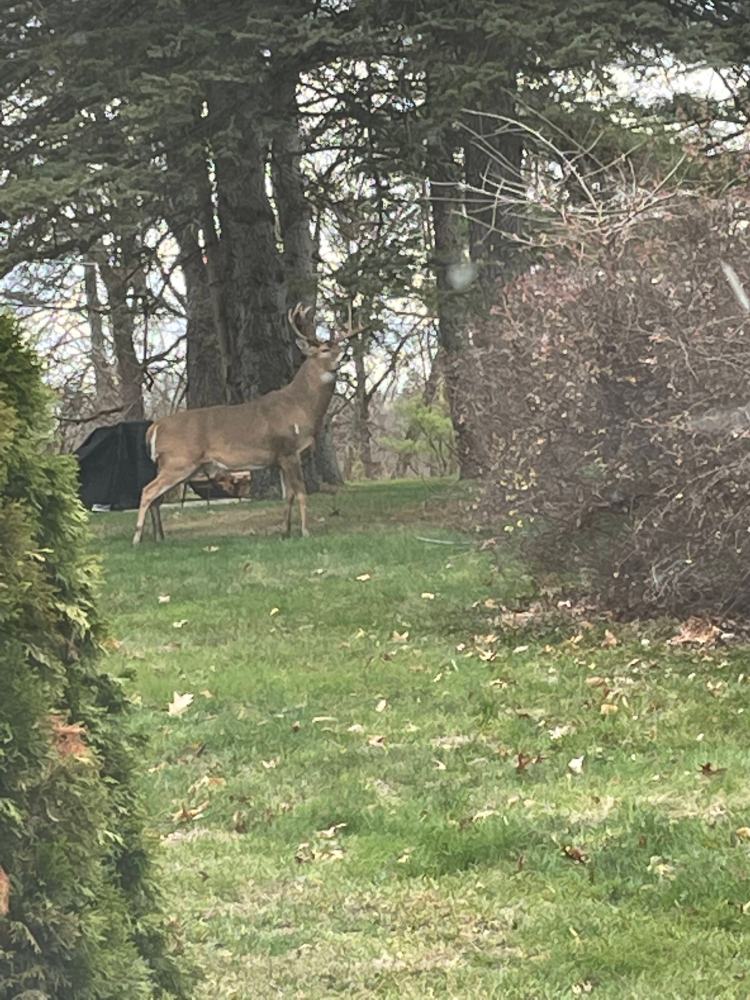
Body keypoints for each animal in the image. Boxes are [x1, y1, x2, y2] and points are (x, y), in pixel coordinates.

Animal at [132, 304, 356, 545]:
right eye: (324, 350)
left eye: (339, 347)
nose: (343, 357)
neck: (301, 406)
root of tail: (154, 427)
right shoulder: (289, 450)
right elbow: (301, 492)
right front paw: (305, 531)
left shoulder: (279, 458)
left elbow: (288, 496)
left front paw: (285, 532)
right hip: (179, 460)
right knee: (147, 491)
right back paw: (137, 539)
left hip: (175, 464)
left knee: (156, 497)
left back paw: (159, 537)